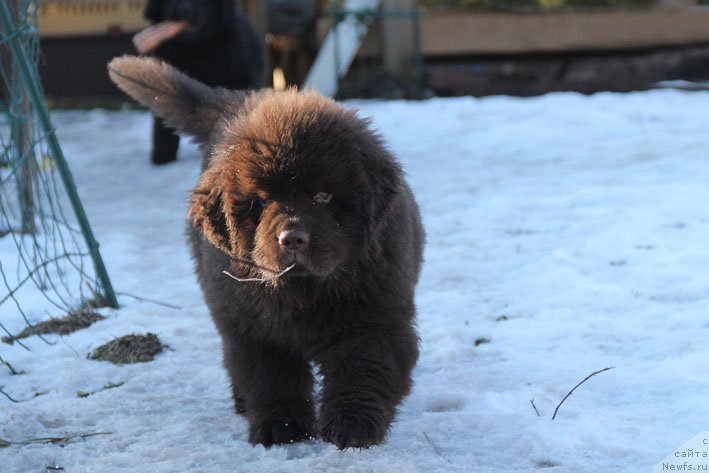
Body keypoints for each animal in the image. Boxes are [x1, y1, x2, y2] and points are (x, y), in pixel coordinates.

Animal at [108, 55, 424, 446]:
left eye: (323, 196)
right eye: (260, 202)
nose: (293, 238)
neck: (304, 291)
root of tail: (236, 101)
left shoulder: (374, 316)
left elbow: (362, 368)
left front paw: (353, 427)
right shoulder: (254, 329)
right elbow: (271, 378)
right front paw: (281, 428)